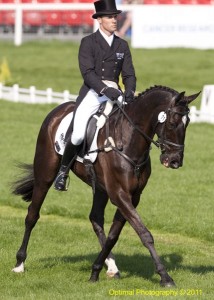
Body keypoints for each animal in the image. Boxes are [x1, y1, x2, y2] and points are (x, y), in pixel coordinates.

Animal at [11, 85, 199, 286]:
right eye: (172, 123)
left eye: (187, 123)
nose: (174, 161)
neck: (128, 142)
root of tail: (58, 110)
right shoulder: (119, 194)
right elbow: (144, 233)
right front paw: (165, 276)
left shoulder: (132, 196)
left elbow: (113, 235)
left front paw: (97, 270)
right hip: (44, 176)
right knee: (32, 215)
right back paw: (19, 264)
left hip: (100, 189)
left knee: (95, 219)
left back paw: (111, 267)